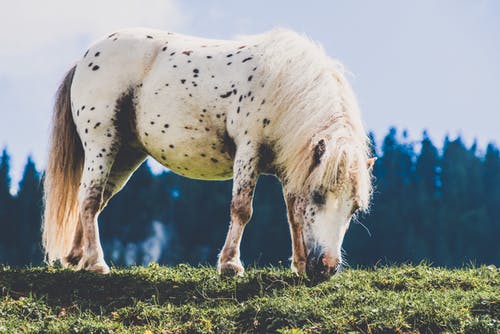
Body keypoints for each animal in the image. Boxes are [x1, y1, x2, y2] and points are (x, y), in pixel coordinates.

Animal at [43, 28, 376, 280]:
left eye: (355, 208)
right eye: (320, 196)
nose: (327, 267)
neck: (285, 88)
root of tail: (85, 59)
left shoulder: (292, 168)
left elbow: (294, 214)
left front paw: (300, 264)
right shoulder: (249, 151)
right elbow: (242, 209)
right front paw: (230, 265)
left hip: (125, 156)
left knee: (96, 200)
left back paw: (77, 257)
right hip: (102, 144)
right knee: (89, 197)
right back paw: (96, 263)